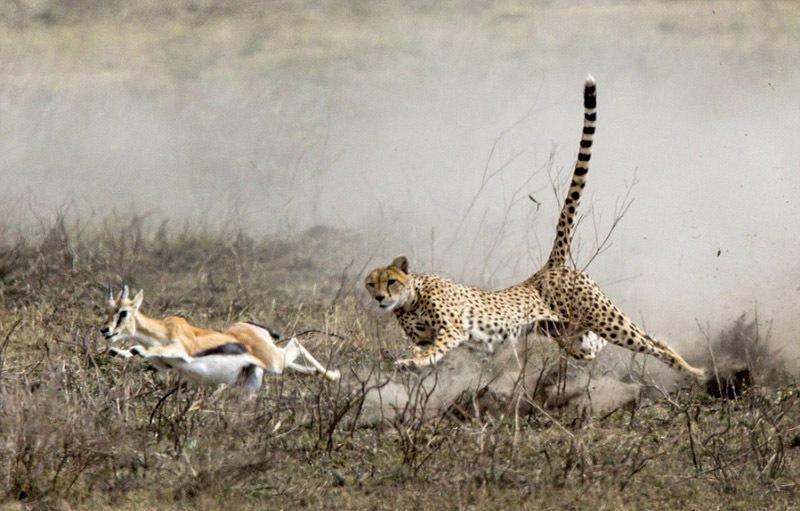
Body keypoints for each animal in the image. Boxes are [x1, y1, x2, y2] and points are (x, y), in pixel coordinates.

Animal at [366, 75, 704, 380]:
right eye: (371, 283)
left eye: (391, 281)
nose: (379, 298)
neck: (411, 298)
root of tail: (549, 268)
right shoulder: (429, 335)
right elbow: (426, 349)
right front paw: (412, 365)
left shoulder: (453, 329)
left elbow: (433, 349)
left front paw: (413, 362)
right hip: (573, 338)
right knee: (604, 345)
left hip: (605, 319)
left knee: (651, 342)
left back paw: (694, 371)